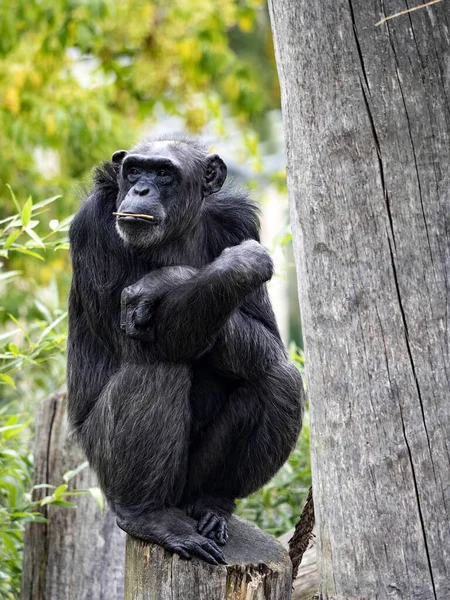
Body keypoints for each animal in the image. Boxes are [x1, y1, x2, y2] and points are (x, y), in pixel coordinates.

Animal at [67, 135, 304, 564]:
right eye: (134, 171)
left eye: (164, 173)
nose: (141, 190)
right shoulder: (93, 227)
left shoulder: (239, 222)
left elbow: (269, 340)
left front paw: (166, 279)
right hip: (100, 464)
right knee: (156, 361)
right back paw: (149, 516)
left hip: (189, 484)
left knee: (279, 376)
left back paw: (213, 502)